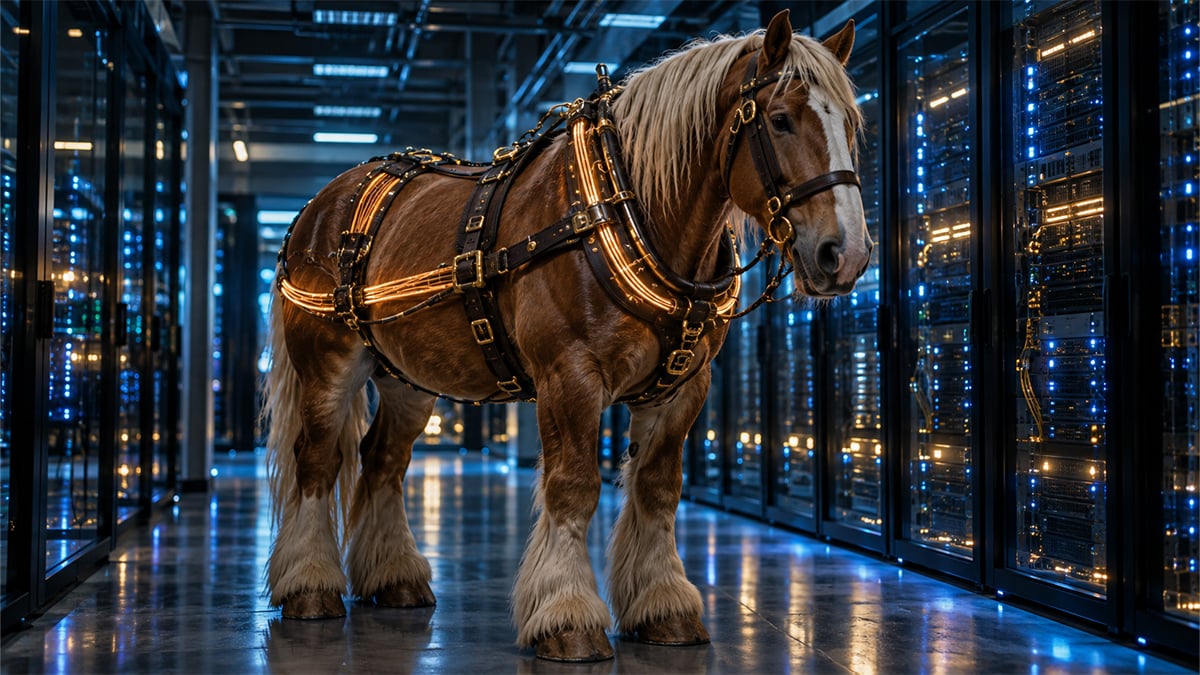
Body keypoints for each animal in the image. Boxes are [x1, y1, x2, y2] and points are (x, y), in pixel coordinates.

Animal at [261, 9, 870, 662]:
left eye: (850, 124)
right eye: (780, 120)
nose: (846, 253)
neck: (625, 212)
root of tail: (319, 206)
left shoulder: (682, 389)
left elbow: (657, 489)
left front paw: (663, 606)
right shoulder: (569, 378)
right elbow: (573, 487)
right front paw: (567, 615)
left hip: (406, 378)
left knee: (382, 461)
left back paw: (395, 577)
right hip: (328, 365)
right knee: (318, 460)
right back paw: (310, 585)